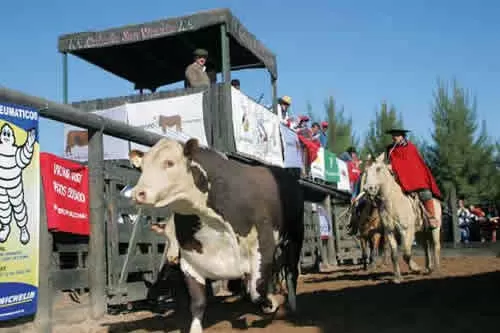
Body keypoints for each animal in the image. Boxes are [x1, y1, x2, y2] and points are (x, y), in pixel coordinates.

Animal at [129, 137, 308, 332]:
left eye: (169, 162)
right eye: (142, 167)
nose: (138, 193)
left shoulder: (264, 244)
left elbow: (257, 291)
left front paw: (272, 303)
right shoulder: (190, 262)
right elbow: (198, 302)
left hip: (296, 234)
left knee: (290, 272)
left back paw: (292, 306)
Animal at [362, 152, 440, 282]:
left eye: (378, 169)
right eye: (366, 171)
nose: (368, 189)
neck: (393, 201)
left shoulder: (406, 230)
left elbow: (406, 253)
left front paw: (415, 268)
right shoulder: (390, 232)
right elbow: (394, 255)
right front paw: (398, 277)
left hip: (435, 229)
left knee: (435, 245)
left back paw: (436, 269)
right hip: (421, 232)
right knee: (426, 246)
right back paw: (429, 268)